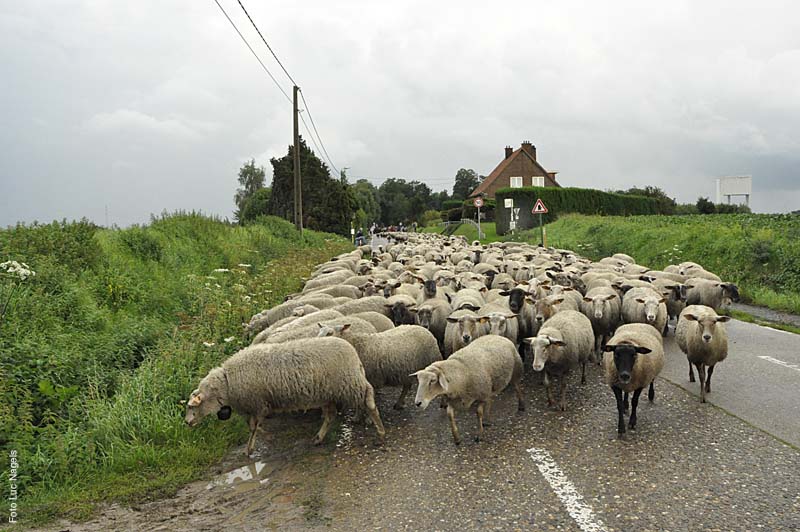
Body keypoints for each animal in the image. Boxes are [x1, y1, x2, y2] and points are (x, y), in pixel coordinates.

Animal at [188, 338, 388, 456]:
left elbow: (253, 428)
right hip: (329, 393)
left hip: (349, 384)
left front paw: (250, 448)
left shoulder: (257, 404)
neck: (226, 384)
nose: (187, 423)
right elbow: (254, 427)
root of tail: (354, 355)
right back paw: (318, 438)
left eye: (192, 407)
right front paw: (262, 438)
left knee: (369, 403)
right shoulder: (255, 406)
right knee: (331, 416)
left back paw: (381, 432)